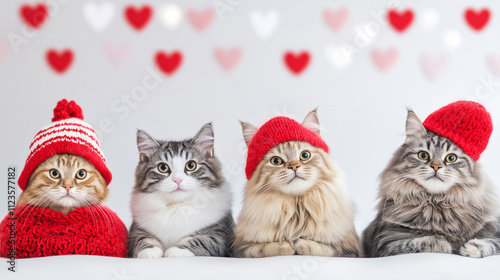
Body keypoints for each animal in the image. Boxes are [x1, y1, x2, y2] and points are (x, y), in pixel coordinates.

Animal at [127, 123, 232, 260]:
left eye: (191, 165)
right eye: (163, 167)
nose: (177, 180)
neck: (176, 206)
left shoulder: (219, 235)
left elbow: (199, 240)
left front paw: (177, 251)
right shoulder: (136, 230)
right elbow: (143, 239)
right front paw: (150, 251)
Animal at [362, 109, 500, 258]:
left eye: (451, 158)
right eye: (423, 155)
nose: (436, 166)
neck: (436, 202)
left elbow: (492, 243)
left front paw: (472, 247)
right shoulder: (386, 243)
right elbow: (420, 242)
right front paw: (445, 244)